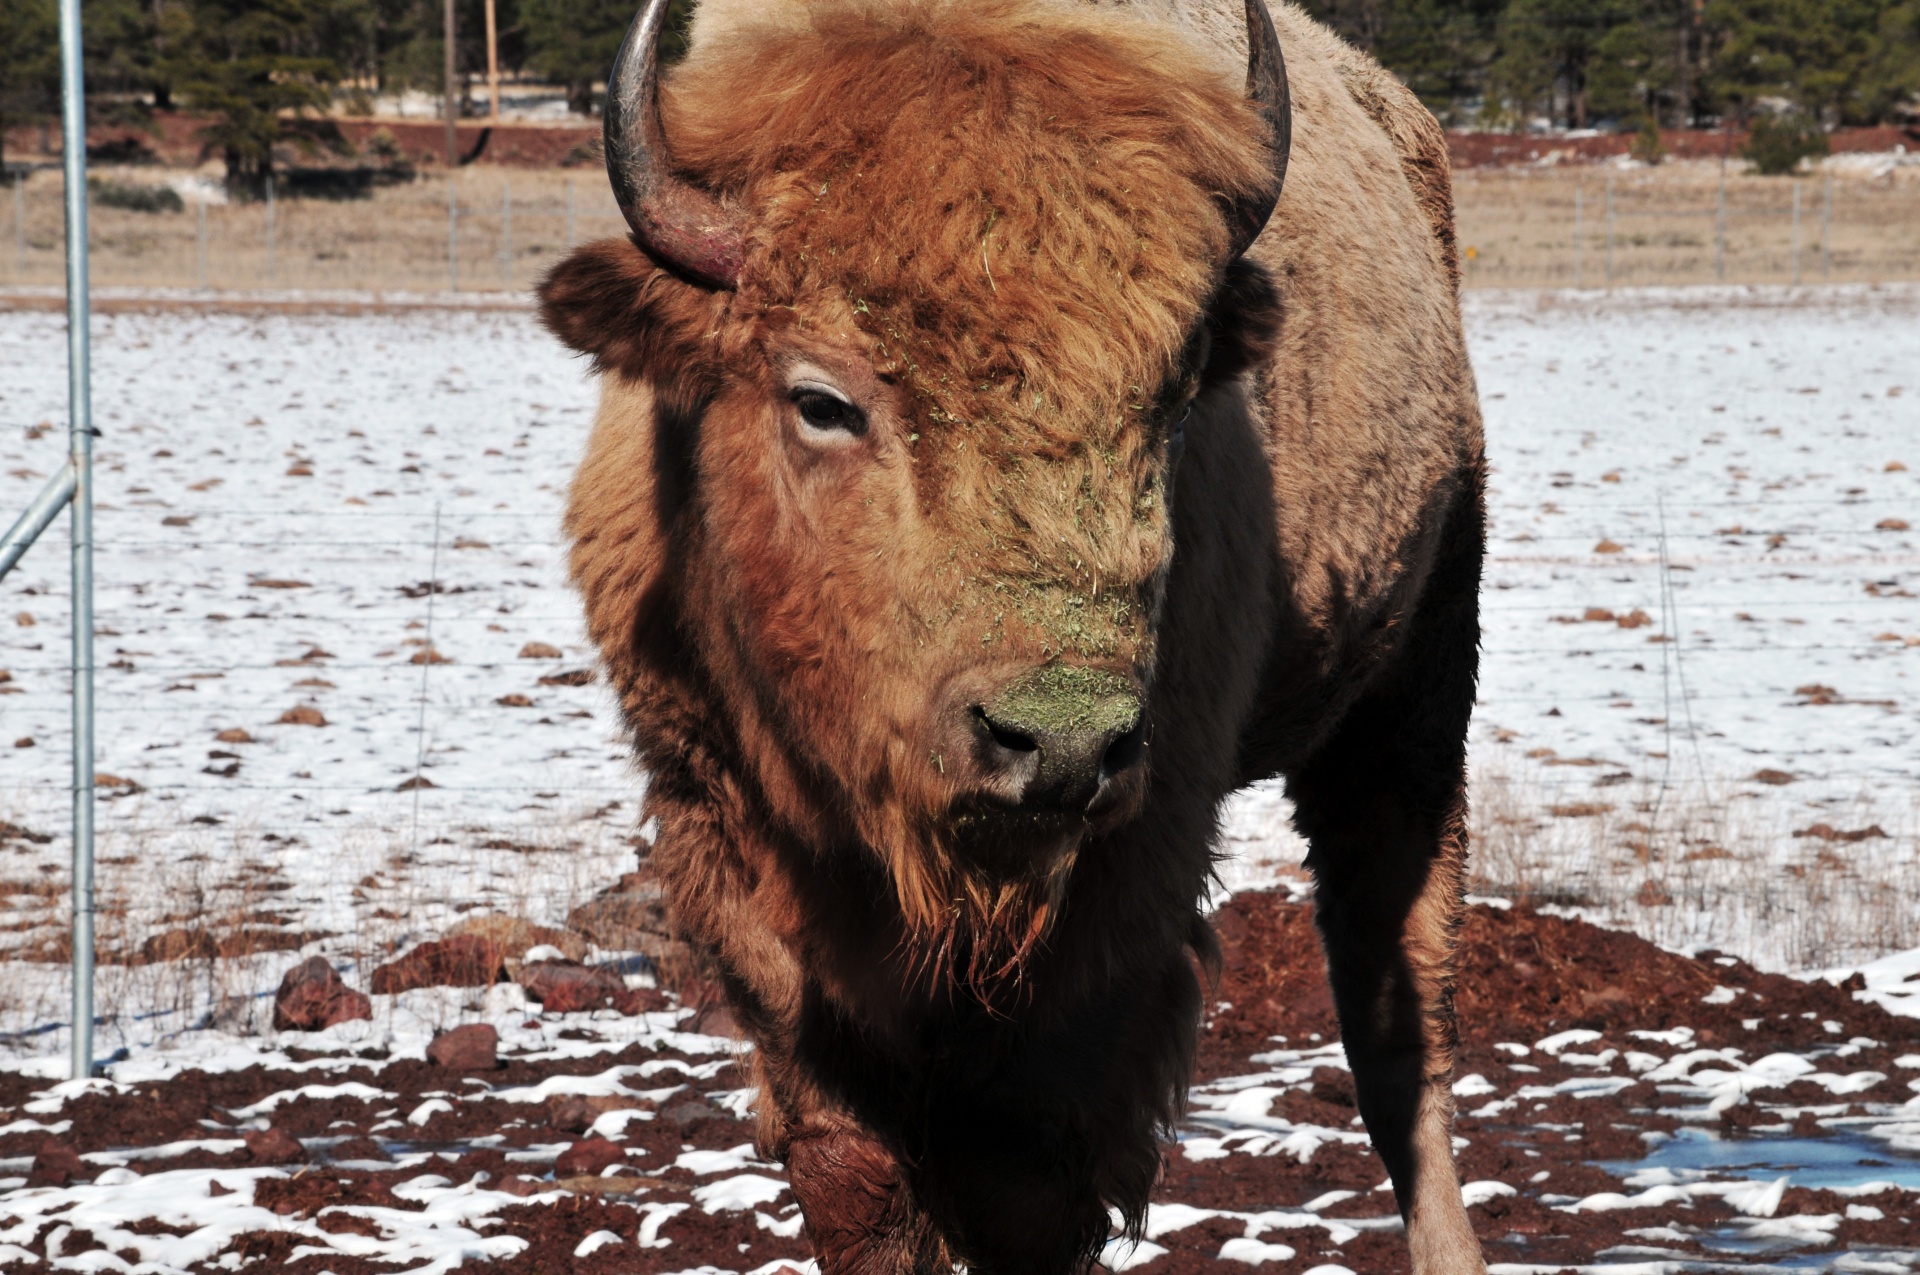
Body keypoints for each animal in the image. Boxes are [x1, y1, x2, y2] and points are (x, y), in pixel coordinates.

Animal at [537, 0, 1482, 1267]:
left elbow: (1032, 1181)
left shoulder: (1125, 882)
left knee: (1399, 1032)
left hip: (1412, 694)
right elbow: (856, 1169)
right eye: (821, 401)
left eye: (1174, 403)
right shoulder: (730, 850)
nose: (1062, 743)